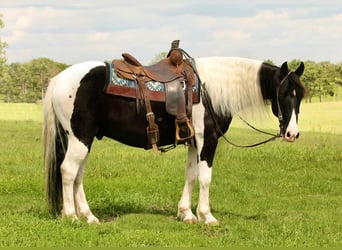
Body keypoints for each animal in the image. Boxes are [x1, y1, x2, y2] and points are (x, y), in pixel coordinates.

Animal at [44, 54, 306, 225]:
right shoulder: (208, 140)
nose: (292, 134)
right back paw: (71, 216)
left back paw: (88, 216)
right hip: (79, 139)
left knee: (78, 175)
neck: (211, 90)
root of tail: (59, 79)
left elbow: (190, 175)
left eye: (300, 95)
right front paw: (207, 216)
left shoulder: (193, 142)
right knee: (68, 171)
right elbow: (205, 178)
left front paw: (186, 214)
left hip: (83, 140)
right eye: (285, 94)